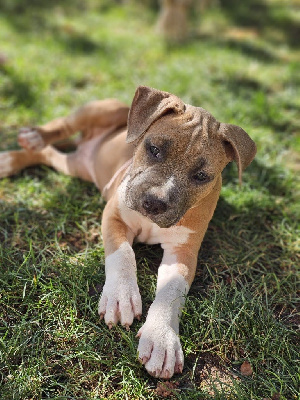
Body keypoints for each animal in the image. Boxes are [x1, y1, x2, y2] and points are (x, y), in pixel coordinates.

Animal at [0, 86, 258, 378]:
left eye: (201, 176)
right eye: (153, 149)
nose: (155, 203)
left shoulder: (184, 252)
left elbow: (171, 291)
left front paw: (161, 339)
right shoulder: (114, 217)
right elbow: (123, 255)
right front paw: (120, 297)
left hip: (76, 167)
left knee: (48, 155)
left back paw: (12, 159)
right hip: (102, 110)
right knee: (62, 126)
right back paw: (30, 139)